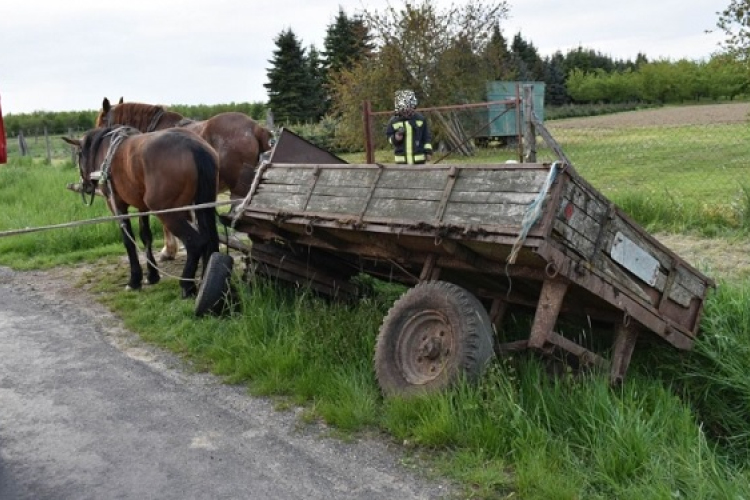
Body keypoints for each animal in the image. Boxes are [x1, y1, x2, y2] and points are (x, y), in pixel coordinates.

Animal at [62, 127, 220, 298]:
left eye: (79, 154)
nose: (85, 185)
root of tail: (192, 145)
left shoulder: (116, 204)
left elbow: (128, 240)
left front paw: (134, 280)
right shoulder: (142, 207)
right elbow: (146, 237)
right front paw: (152, 275)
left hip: (167, 212)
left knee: (195, 242)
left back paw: (187, 285)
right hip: (200, 205)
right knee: (210, 241)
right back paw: (206, 280)